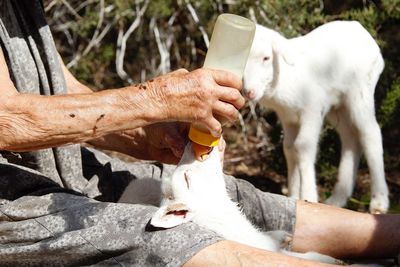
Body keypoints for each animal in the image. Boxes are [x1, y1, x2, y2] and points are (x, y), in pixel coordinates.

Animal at [242, 20, 390, 214]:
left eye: (266, 58)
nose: (248, 92)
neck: (286, 79)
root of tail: (360, 28)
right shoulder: (288, 118)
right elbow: (288, 148)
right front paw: (293, 196)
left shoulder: (311, 110)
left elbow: (302, 146)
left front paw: (308, 197)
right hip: (338, 106)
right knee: (350, 138)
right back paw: (337, 199)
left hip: (360, 92)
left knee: (370, 134)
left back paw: (379, 202)